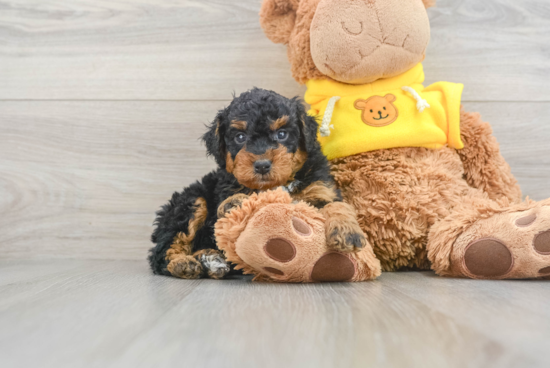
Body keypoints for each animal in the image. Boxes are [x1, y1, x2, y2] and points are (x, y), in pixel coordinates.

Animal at [149, 88, 368, 278]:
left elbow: (338, 205)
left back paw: (211, 261)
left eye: (282, 134)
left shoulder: (321, 188)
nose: (262, 165)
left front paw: (347, 231)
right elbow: (231, 202)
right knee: (161, 253)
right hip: (191, 203)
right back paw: (183, 264)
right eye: (240, 137)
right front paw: (234, 202)